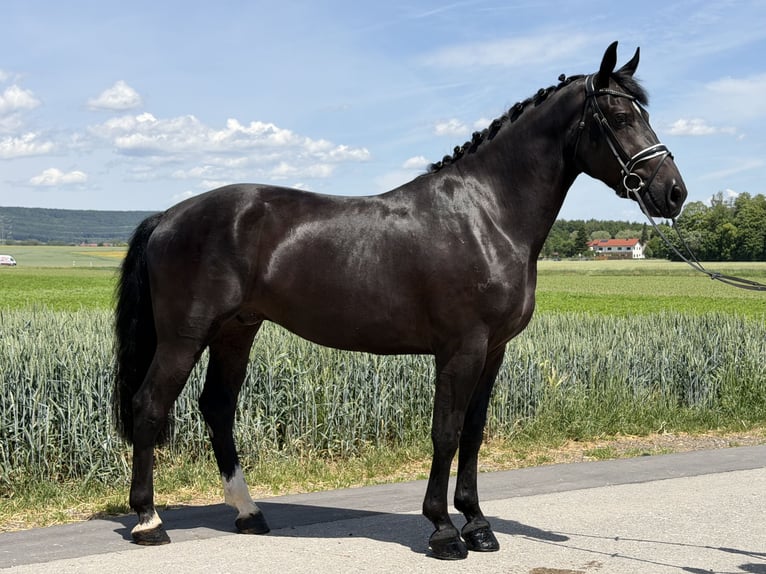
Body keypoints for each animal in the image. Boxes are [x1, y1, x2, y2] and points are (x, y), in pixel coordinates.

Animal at [113, 41, 687, 560]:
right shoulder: (461, 348)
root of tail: (167, 216)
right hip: (185, 335)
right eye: (618, 116)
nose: (673, 192)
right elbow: (446, 432)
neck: (486, 215)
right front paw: (444, 531)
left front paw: (478, 525)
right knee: (149, 405)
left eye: (645, 113)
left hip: (237, 330)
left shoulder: (493, 351)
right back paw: (149, 520)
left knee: (217, 407)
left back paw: (249, 513)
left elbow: (474, 433)